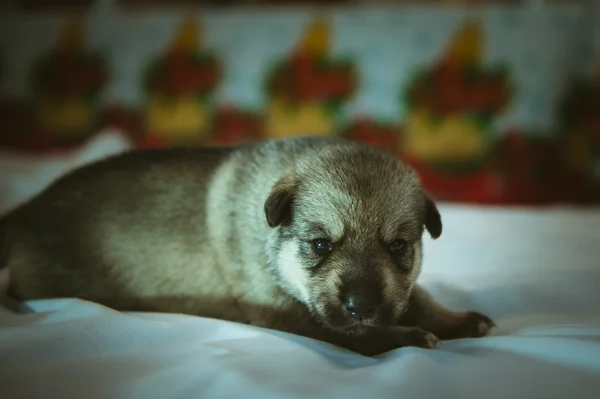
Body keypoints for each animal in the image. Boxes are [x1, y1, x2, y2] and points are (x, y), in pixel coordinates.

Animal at [0, 137, 494, 356]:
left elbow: (417, 297)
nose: (361, 305)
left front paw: (457, 319)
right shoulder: (286, 315)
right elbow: (352, 337)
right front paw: (409, 335)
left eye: (398, 247)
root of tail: (19, 218)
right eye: (320, 244)